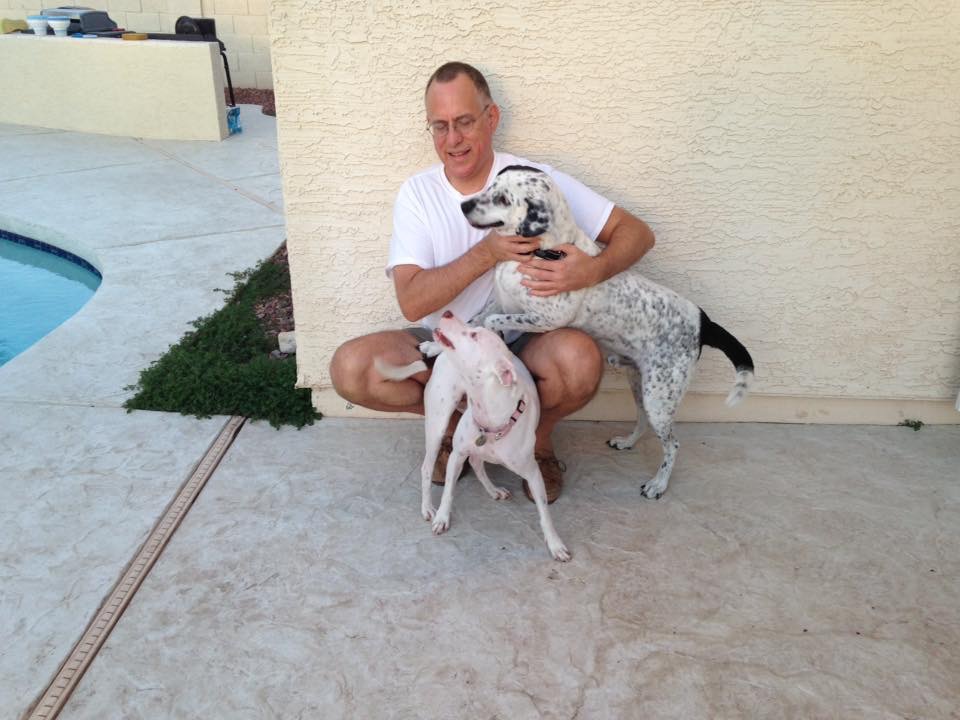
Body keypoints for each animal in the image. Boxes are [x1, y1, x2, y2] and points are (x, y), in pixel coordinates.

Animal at [376, 310, 568, 564]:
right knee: (428, 468)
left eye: (474, 335)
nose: (448, 313)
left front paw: (555, 544)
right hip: (437, 425)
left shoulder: (533, 473)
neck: (491, 416)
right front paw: (442, 518)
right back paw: (427, 508)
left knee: (477, 462)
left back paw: (493, 490)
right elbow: (448, 491)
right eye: (474, 328)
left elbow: (545, 512)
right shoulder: (457, 455)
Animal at [462, 165, 752, 498]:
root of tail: (703, 321)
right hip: (641, 384)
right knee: (642, 421)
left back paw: (658, 484)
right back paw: (627, 441)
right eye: (490, 185)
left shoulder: (546, 318)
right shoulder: (502, 299)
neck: (544, 250)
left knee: (673, 444)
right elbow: (477, 319)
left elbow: (493, 321)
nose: (463, 205)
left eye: (504, 199)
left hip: (661, 398)